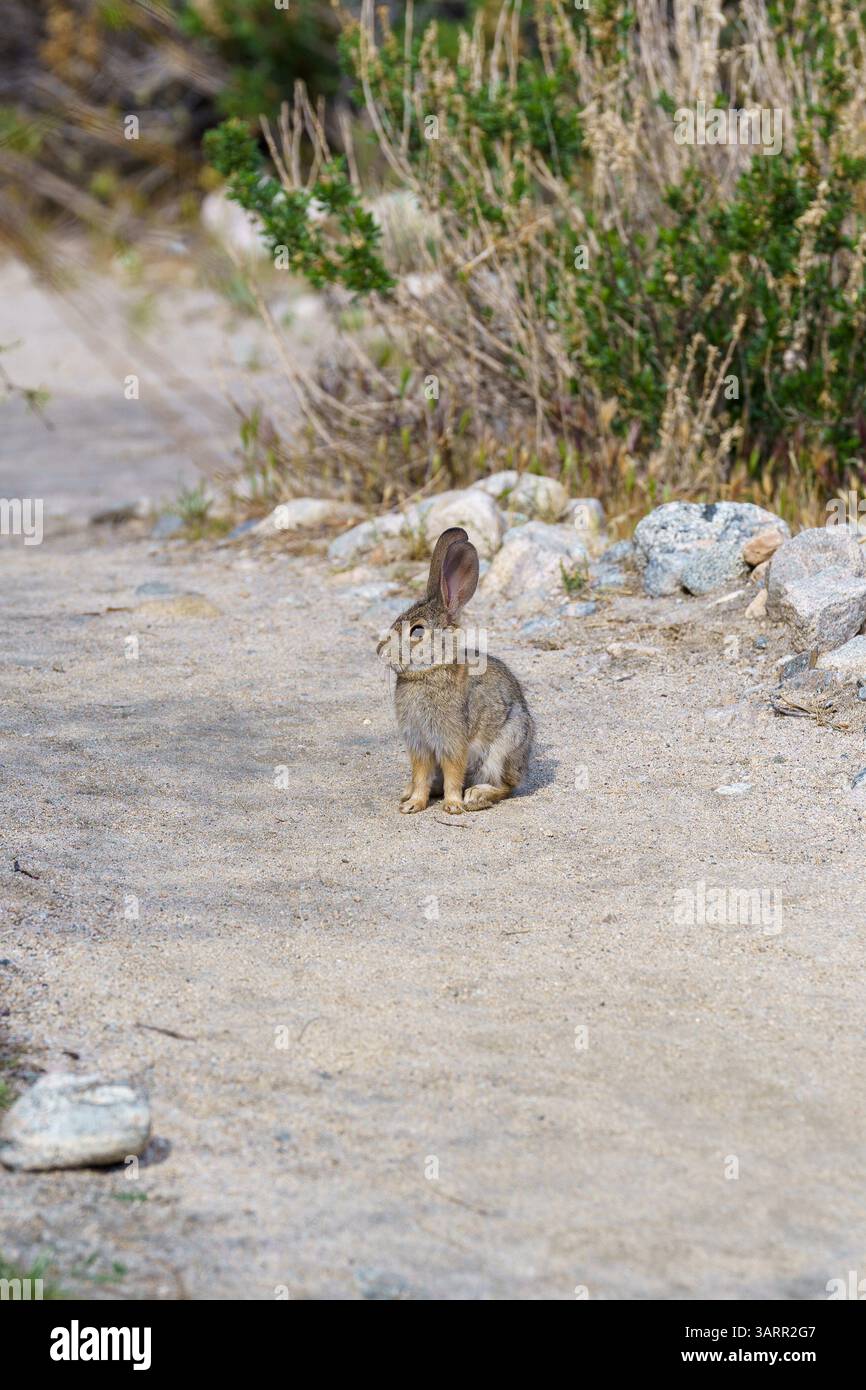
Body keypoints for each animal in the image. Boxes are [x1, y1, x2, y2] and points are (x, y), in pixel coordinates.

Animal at [377, 527, 534, 814]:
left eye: (417, 631)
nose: (379, 651)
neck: (429, 672)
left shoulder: (451, 741)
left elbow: (453, 772)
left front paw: (452, 806)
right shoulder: (419, 744)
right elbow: (421, 775)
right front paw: (413, 805)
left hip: (504, 747)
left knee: (505, 786)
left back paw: (475, 796)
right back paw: (408, 793)